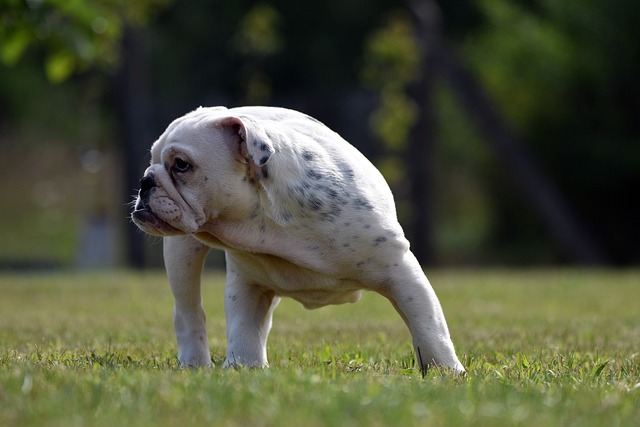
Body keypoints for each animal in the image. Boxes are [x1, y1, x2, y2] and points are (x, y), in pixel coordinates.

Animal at [132, 107, 464, 374]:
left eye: (182, 164)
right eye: (151, 158)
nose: (145, 179)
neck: (266, 220)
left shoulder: (399, 271)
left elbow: (428, 326)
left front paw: (446, 372)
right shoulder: (247, 284)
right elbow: (243, 328)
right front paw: (243, 367)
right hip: (181, 252)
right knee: (188, 312)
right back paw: (194, 364)